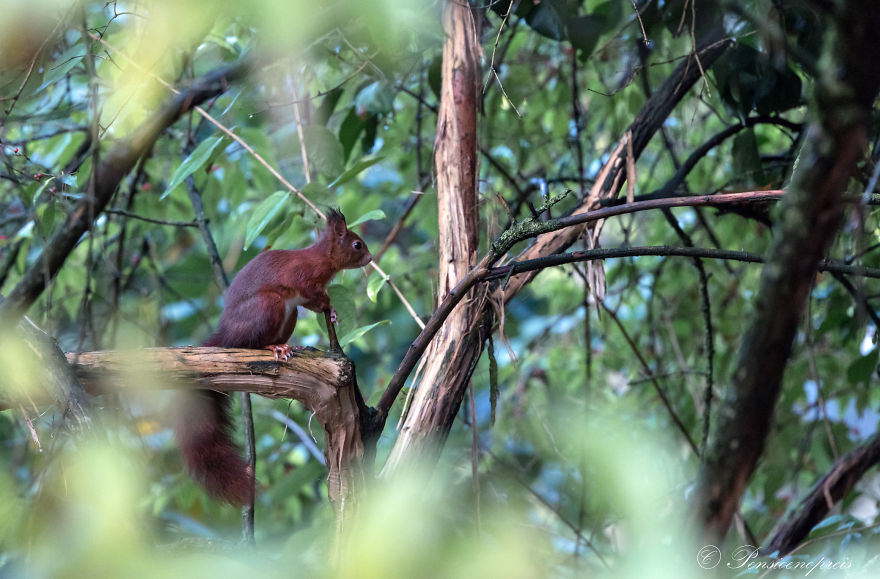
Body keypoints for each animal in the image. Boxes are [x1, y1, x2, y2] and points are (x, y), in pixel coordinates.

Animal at [174, 209, 372, 504]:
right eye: (357, 244)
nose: (370, 258)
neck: (322, 258)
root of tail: (227, 335)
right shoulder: (302, 275)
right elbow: (309, 290)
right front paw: (328, 303)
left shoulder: (303, 299)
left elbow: (312, 303)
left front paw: (333, 312)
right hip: (270, 305)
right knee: (250, 344)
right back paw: (274, 347)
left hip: (289, 315)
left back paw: (291, 346)